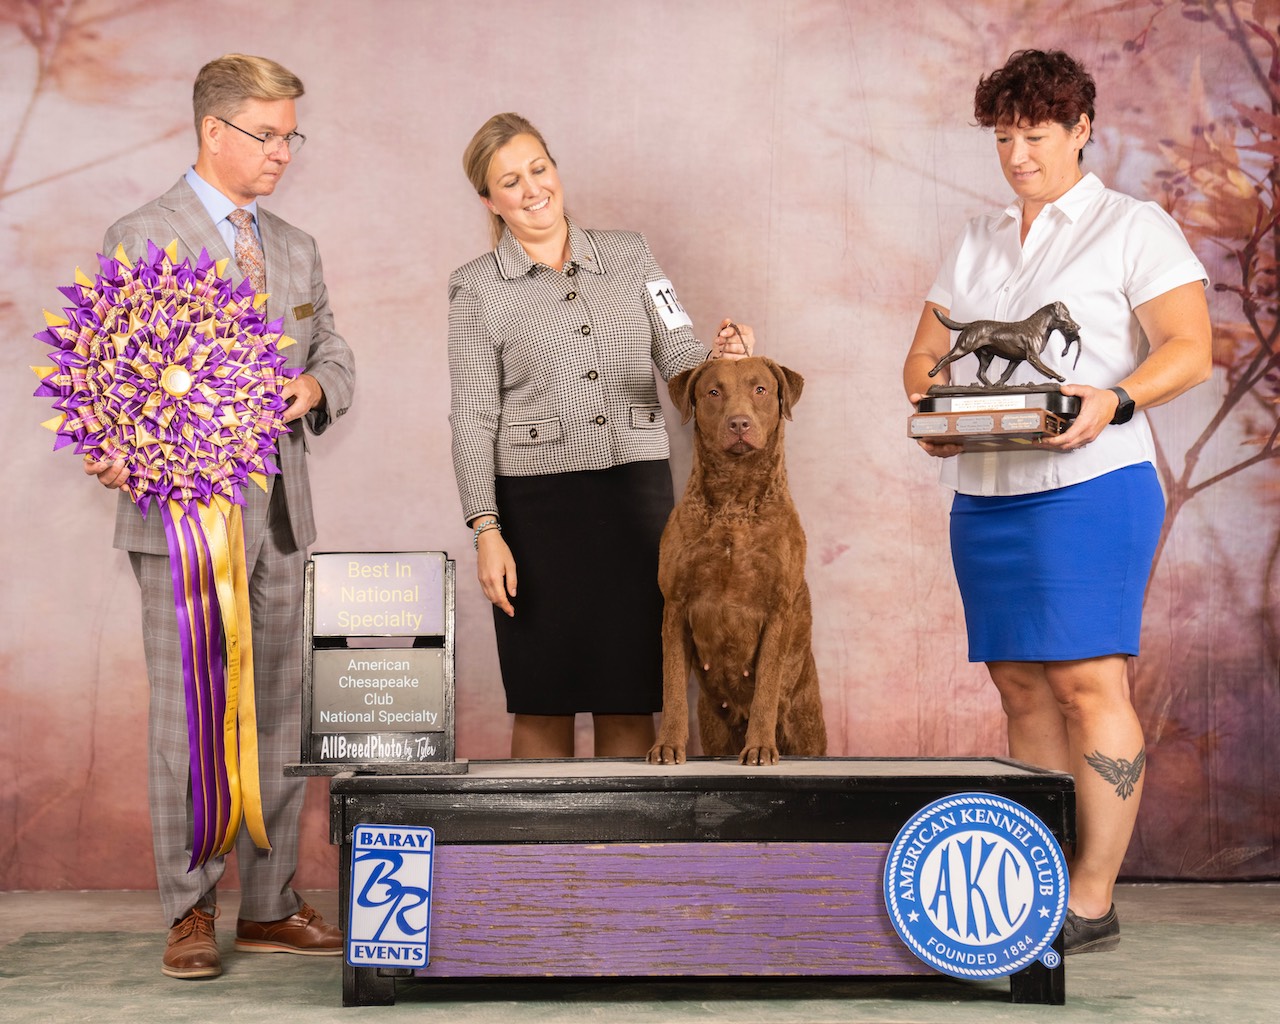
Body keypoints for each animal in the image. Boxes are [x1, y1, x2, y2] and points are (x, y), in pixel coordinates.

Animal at [647, 356, 827, 767]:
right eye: (714, 391)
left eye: (760, 389)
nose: (739, 423)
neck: (734, 504)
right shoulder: (675, 605)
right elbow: (673, 684)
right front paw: (668, 745)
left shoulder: (777, 609)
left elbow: (766, 687)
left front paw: (759, 747)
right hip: (714, 727)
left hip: (809, 726)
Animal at [928, 301, 1082, 386]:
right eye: (1066, 315)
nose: (1078, 326)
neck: (1040, 327)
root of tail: (970, 324)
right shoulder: (1033, 357)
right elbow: (1048, 369)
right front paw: (1059, 377)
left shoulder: (1016, 360)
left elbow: (1006, 375)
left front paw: (999, 385)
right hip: (964, 347)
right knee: (945, 358)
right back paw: (932, 373)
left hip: (986, 356)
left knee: (980, 373)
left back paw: (991, 387)